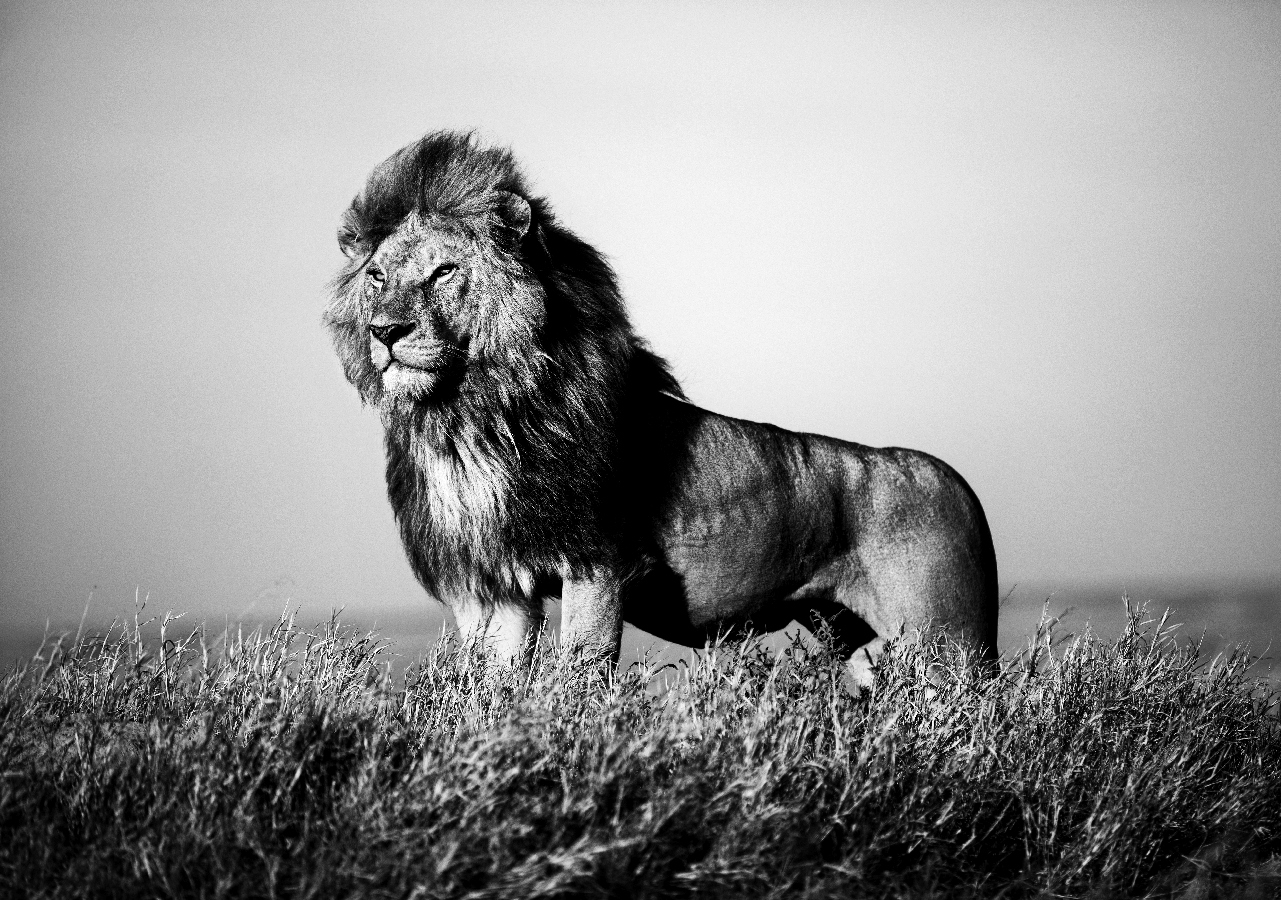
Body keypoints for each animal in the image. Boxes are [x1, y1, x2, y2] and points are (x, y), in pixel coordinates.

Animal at [324, 131, 998, 689]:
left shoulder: (596, 562)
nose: (385, 331)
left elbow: (581, 673)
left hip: (950, 639)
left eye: (443, 272)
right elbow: (487, 689)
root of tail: (955, 481)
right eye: (377, 277)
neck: (466, 416)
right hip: (851, 636)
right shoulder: (491, 584)